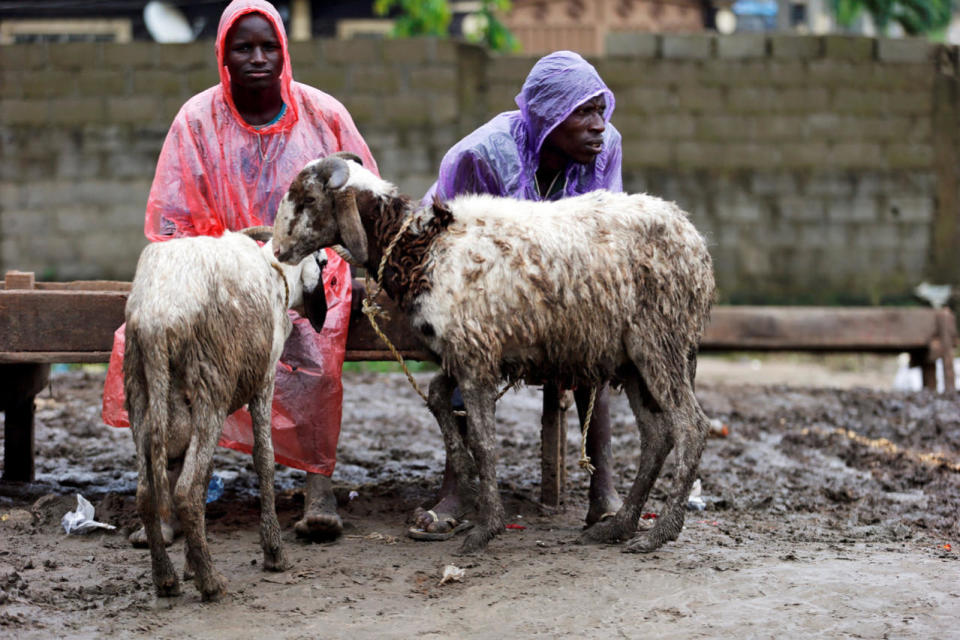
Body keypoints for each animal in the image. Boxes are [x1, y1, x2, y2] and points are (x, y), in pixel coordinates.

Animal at [124, 226, 328, 600]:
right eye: (323, 263)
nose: (320, 314)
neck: (276, 273)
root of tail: (157, 319)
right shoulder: (265, 380)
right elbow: (264, 457)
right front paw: (274, 552)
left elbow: (206, 476)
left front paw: (191, 563)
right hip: (211, 388)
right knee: (185, 492)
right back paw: (211, 583)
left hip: (141, 394)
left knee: (147, 493)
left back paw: (166, 578)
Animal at [274, 155, 716, 556]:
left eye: (308, 198)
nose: (278, 250)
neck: (423, 247)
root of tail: (697, 244)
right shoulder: (465, 352)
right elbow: (438, 397)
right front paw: (465, 474)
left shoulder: (475, 351)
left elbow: (485, 440)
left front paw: (486, 529)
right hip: (632, 360)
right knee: (657, 435)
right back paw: (619, 526)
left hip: (661, 340)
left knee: (691, 426)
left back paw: (660, 533)